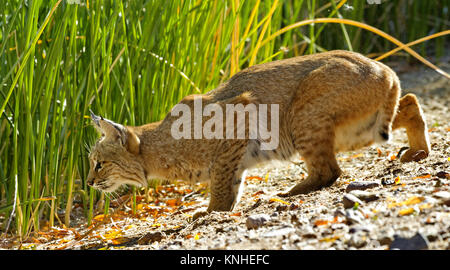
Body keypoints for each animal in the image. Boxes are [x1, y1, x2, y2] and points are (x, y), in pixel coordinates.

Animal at [87, 50, 428, 213]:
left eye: (99, 163)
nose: (88, 182)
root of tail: (384, 68)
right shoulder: (234, 154)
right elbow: (231, 182)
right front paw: (218, 211)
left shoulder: (239, 117)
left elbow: (220, 182)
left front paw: (209, 213)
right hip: (362, 129)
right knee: (410, 101)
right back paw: (419, 150)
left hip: (300, 116)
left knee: (330, 170)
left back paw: (290, 192)